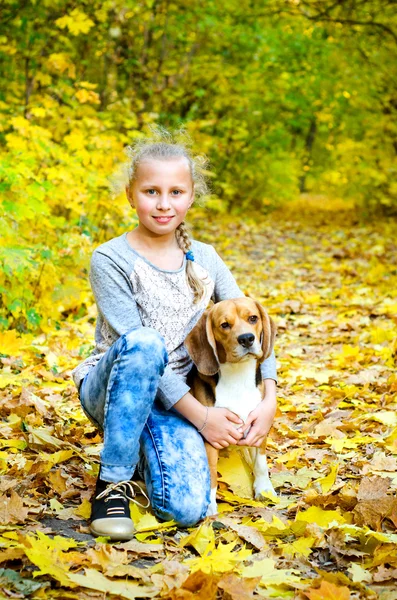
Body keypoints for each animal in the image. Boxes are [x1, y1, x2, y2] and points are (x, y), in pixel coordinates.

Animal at [185, 298, 276, 512]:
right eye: (224, 325)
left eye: (253, 318)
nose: (247, 339)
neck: (238, 376)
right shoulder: (212, 436)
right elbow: (211, 472)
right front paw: (210, 506)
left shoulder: (258, 426)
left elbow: (261, 462)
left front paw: (264, 489)